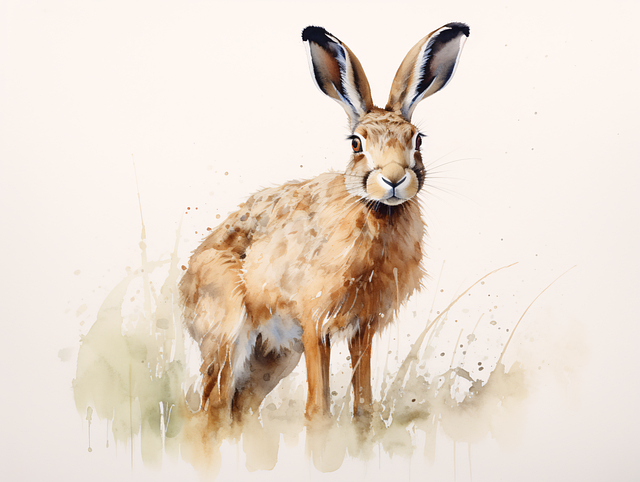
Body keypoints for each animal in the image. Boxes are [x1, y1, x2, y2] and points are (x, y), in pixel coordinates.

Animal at [179, 22, 469, 426]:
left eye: (418, 140)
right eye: (356, 144)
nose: (394, 179)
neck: (374, 211)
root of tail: (184, 287)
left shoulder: (363, 327)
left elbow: (363, 402)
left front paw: (363, 428)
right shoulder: (315, 321)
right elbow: (318, 407)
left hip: (274, 357)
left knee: (241, 406)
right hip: (229, 332)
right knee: (212, 408)